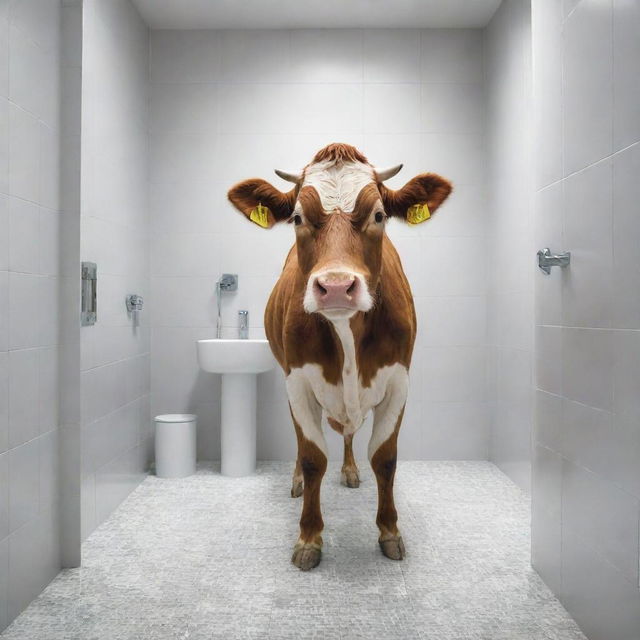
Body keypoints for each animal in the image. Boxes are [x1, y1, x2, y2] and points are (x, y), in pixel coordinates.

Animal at [228, 144, 452, 568]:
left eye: (378, 215)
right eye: (297, 217)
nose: (335, 286)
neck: (348, 336)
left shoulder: (399, 382)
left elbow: (384, 457)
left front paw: (389, 531)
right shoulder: (298, 383)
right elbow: (313, 456)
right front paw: (309, 537)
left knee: (349, 435)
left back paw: (350, 471)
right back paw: (298, 481)